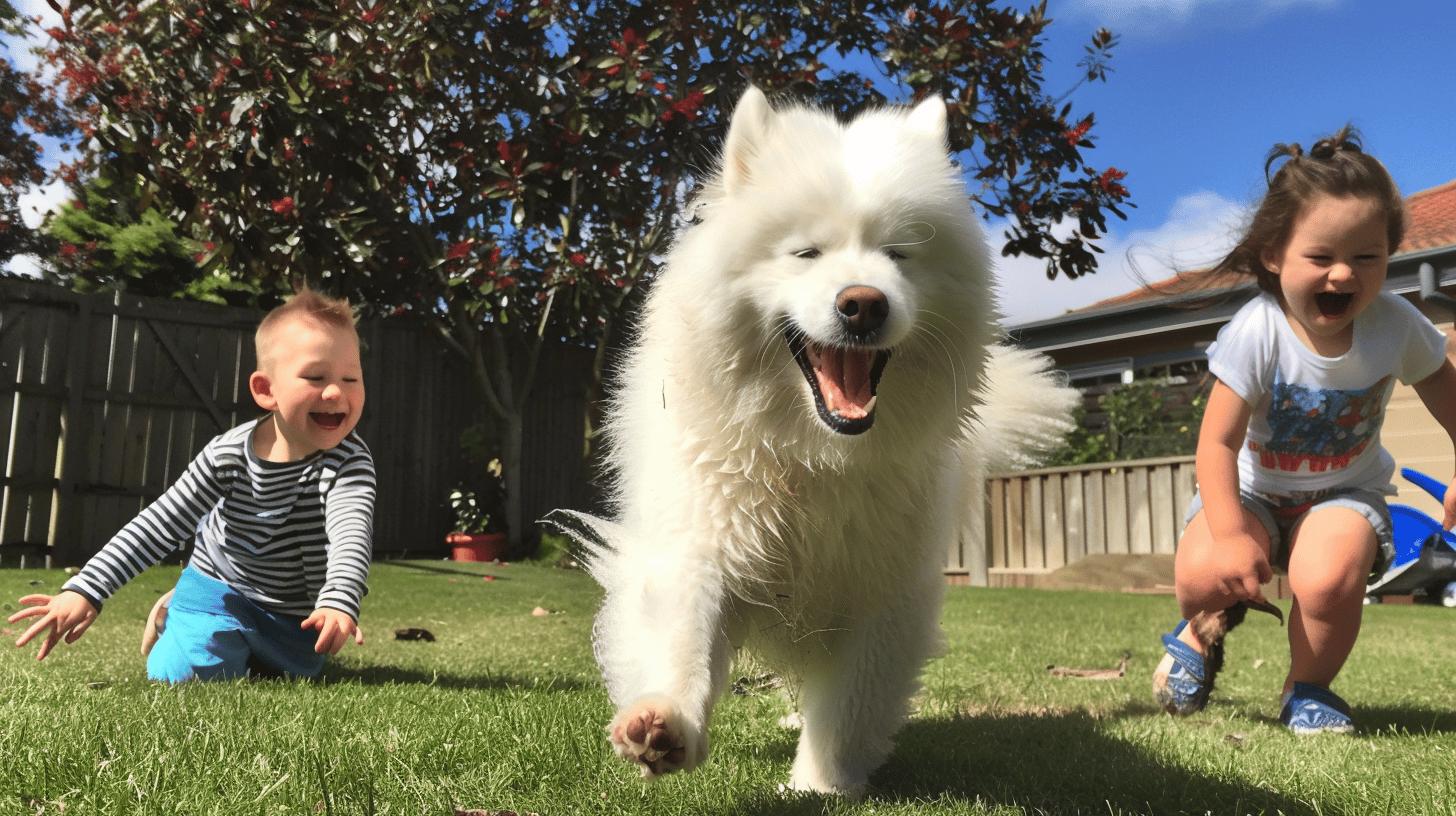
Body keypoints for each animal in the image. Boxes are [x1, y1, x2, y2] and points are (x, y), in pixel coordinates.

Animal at [550, 87, 1077, 798]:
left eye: (899, 255)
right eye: (805, 254)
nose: (864, 304)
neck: (810, 456)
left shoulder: (882, 594)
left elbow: (849, 705)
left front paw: (819, 786)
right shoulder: (701, 543)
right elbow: (685, 639)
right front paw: (664, 721)